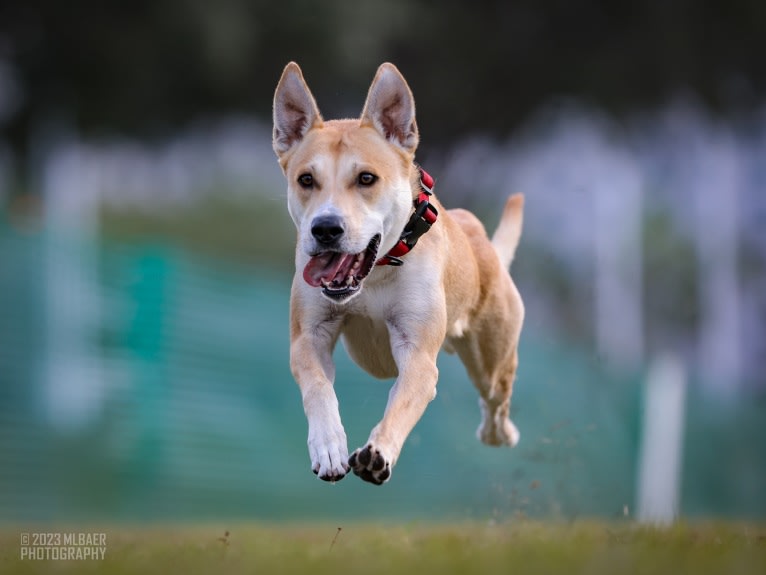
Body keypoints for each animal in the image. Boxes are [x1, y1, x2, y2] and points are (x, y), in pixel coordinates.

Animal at [272, 62, 528, 486]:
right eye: (306, 179)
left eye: (366, 178)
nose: (325, 229)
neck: (375, 274)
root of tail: (484, 246)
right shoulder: (310, 335)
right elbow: (318, 388)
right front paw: (328, 448)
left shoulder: (418, 353)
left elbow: (402, 403)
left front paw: (378, 453)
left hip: (492, 353)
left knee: (497, 394)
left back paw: (500, 432)